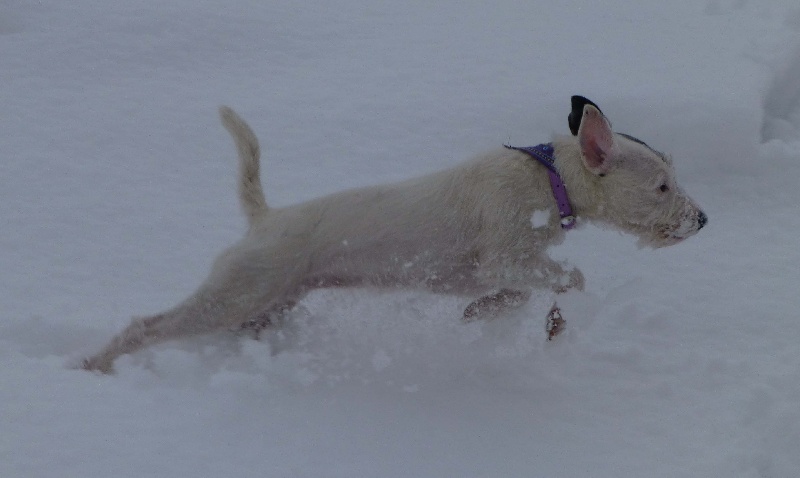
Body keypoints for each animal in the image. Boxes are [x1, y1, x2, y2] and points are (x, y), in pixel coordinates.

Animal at [83, 97, 708, 374]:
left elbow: (519, 291)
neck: (548, 179)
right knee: (147, 327)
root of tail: (264, 218)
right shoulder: (506, 253)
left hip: (266, 303)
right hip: (235, 291)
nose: (701, 220)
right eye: (660, 186)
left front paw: (481, 313)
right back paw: (95, 366)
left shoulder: (506, 267)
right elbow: (566, 278)